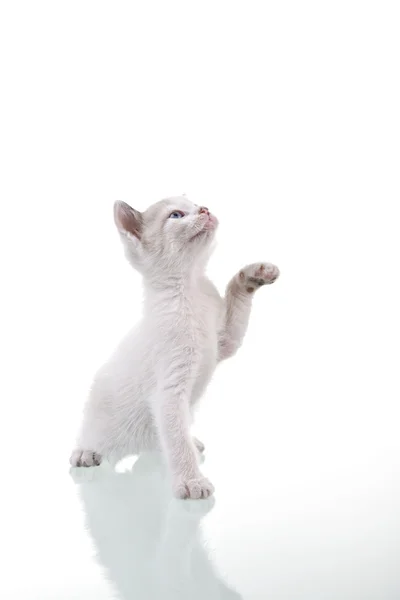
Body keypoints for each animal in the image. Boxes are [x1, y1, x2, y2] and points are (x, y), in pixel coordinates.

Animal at [70, 195, 278, 500]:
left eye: (198, 205)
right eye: (176, 215)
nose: (205, 210)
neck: (193, 288)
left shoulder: (224, 342)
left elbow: (235, 294)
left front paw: (254, 275)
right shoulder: (169, 391)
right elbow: (178, 443)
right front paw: (192, 482)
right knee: (95, 435)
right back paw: (85, 453)